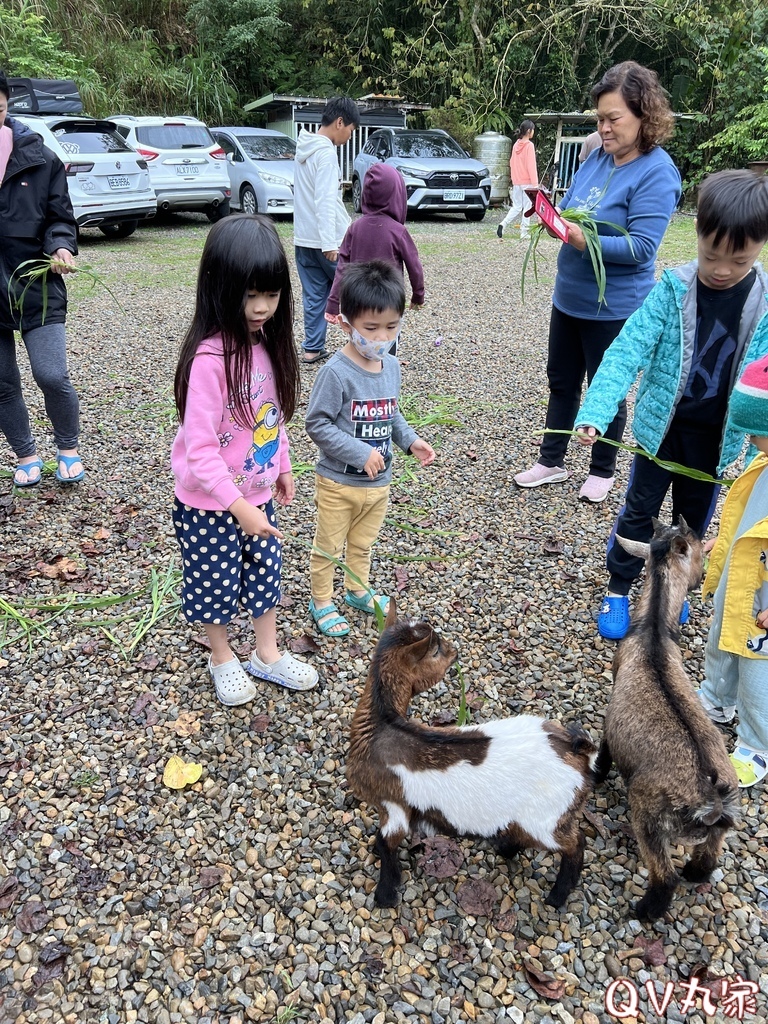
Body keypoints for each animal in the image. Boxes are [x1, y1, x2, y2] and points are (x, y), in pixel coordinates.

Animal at [348, 602, 602, 909]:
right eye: (437, 649)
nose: (455, 649)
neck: (380, 725)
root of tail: (578, 751)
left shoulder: (392, 806)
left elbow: (386, 843)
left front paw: (385, 895)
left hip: (548, 817)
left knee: (575, 845)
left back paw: (556, 896)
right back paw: (506, 849)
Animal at [593, 520, 741, 921]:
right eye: (700, 551)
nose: (700, 581)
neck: (654, 631)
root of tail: (711, 801)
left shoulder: (612, 710)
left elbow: (605, 747)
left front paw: (596, 773)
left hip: (649, 814)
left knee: (664, 874)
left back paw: (645, 910)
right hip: (718, 826)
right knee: (708, 856)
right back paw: (695, 873)